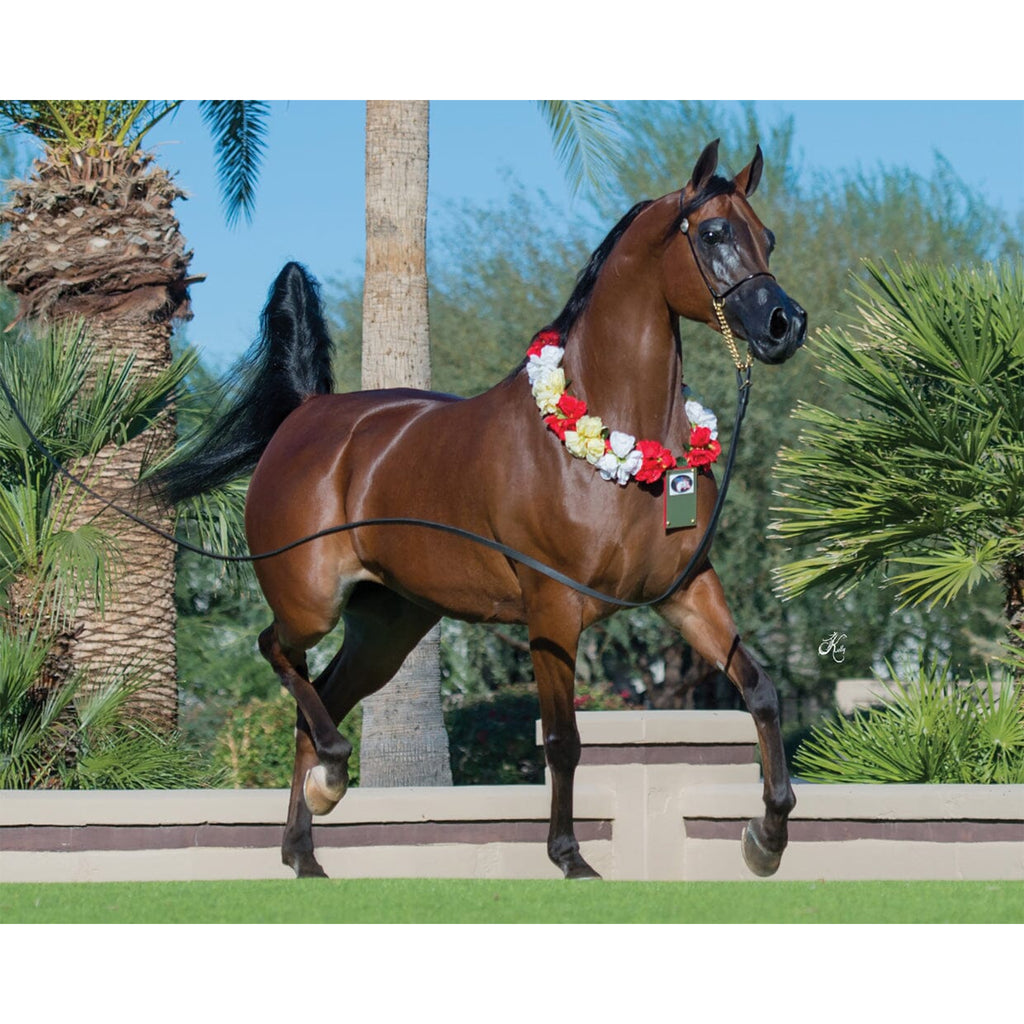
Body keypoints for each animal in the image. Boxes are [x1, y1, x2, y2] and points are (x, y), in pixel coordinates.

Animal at [156, 139, 807, 880]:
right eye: (715, 233)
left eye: (767, 236)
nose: (785, 325)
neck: (613, 440)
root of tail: (307, 415)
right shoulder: (553, 608)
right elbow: (563, 739)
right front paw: (570, 858)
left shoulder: (687, 592)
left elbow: (760, 691)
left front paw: (767, 837)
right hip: (309, 601)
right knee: (278, 655)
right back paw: (331, 776)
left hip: (387, 627)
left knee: (317, 700)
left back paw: (306, 847)